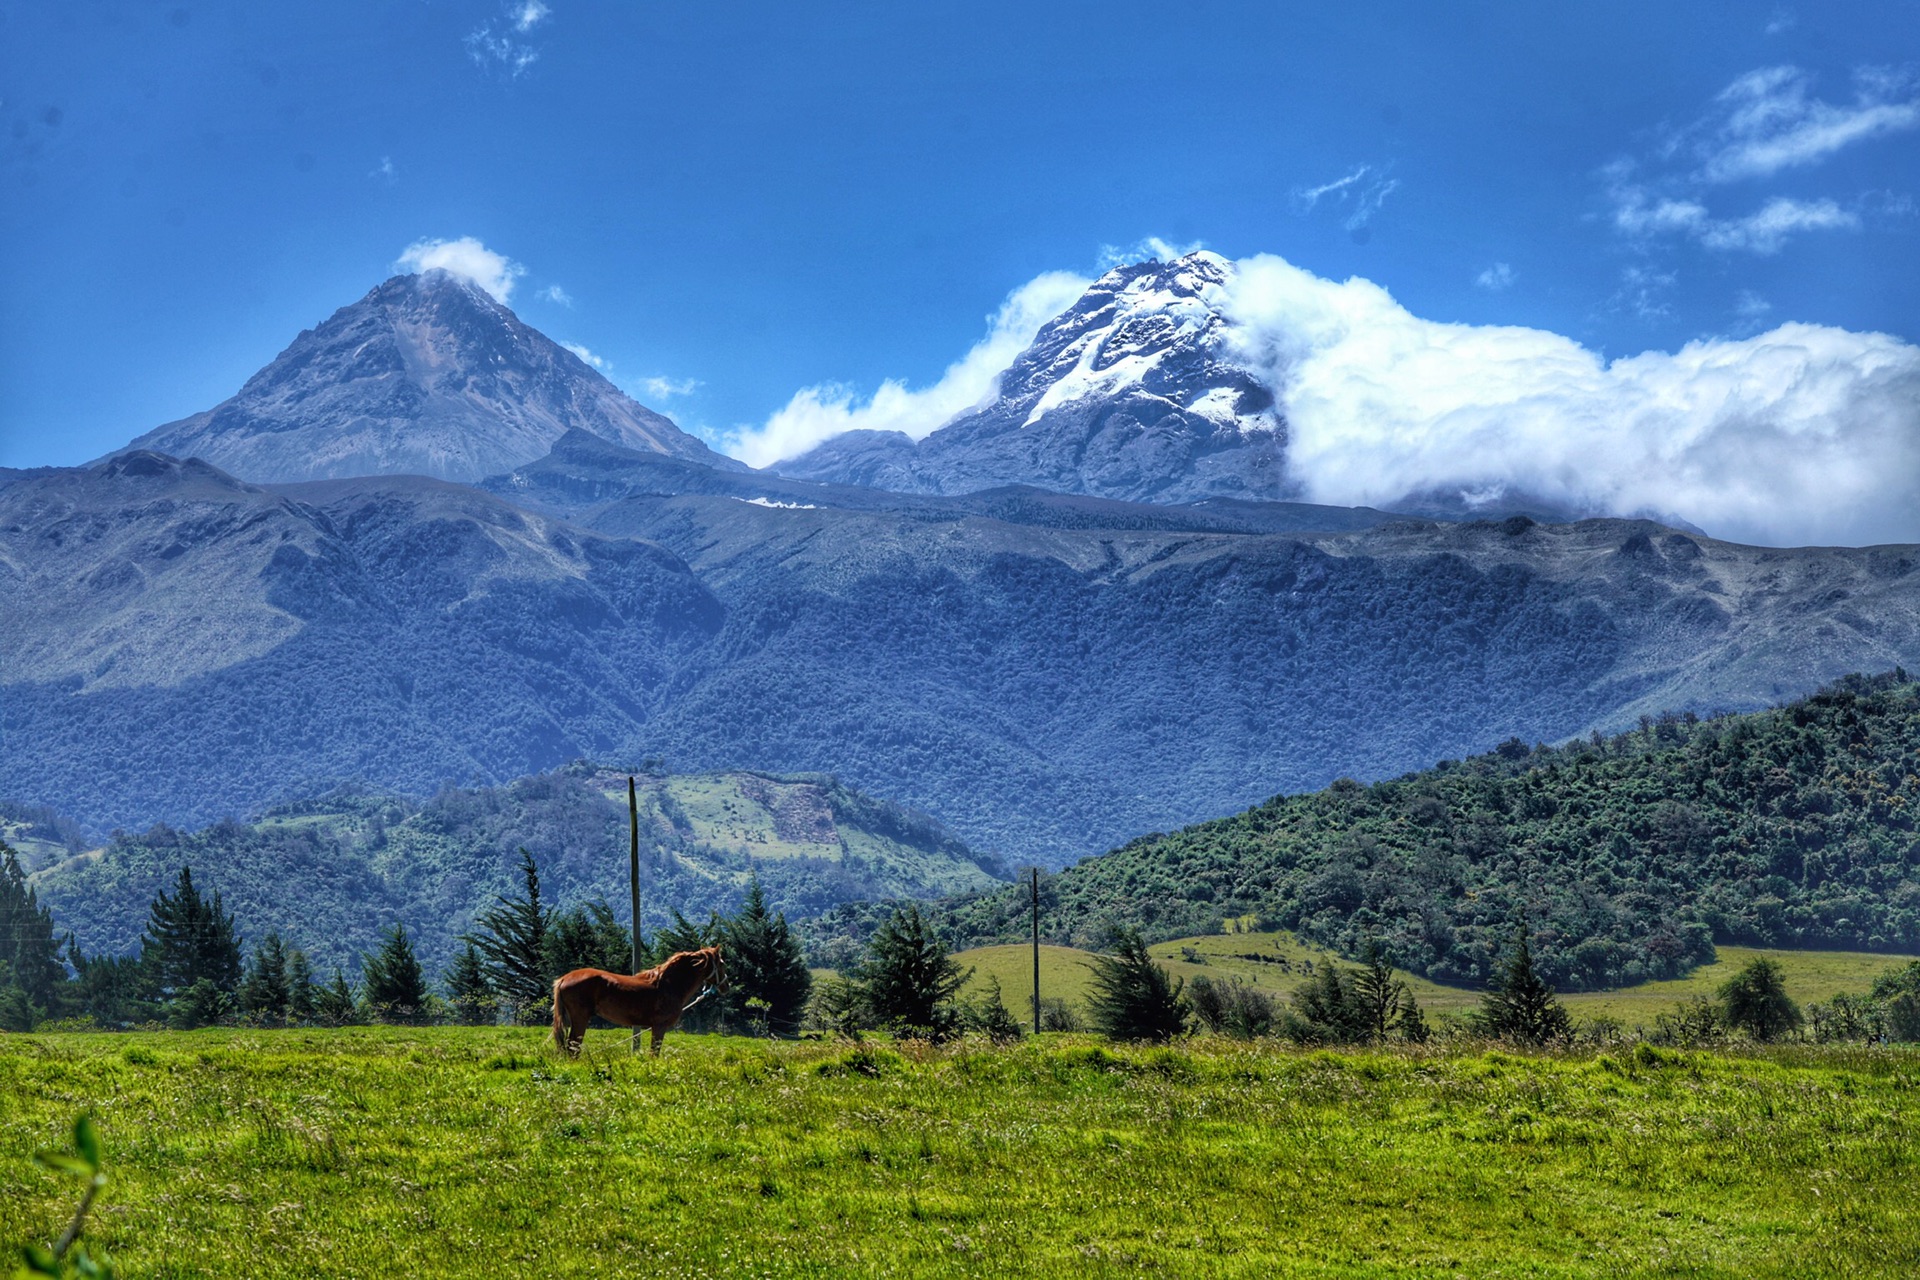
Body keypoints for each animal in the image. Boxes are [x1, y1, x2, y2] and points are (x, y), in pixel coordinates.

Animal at [549, 948, 725, 1059]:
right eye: (722, 963)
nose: (726, 985)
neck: (668, 984)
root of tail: (564, 978)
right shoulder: (659, 1026)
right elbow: (655, 1052)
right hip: (580, 1018)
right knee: (573, 1044)